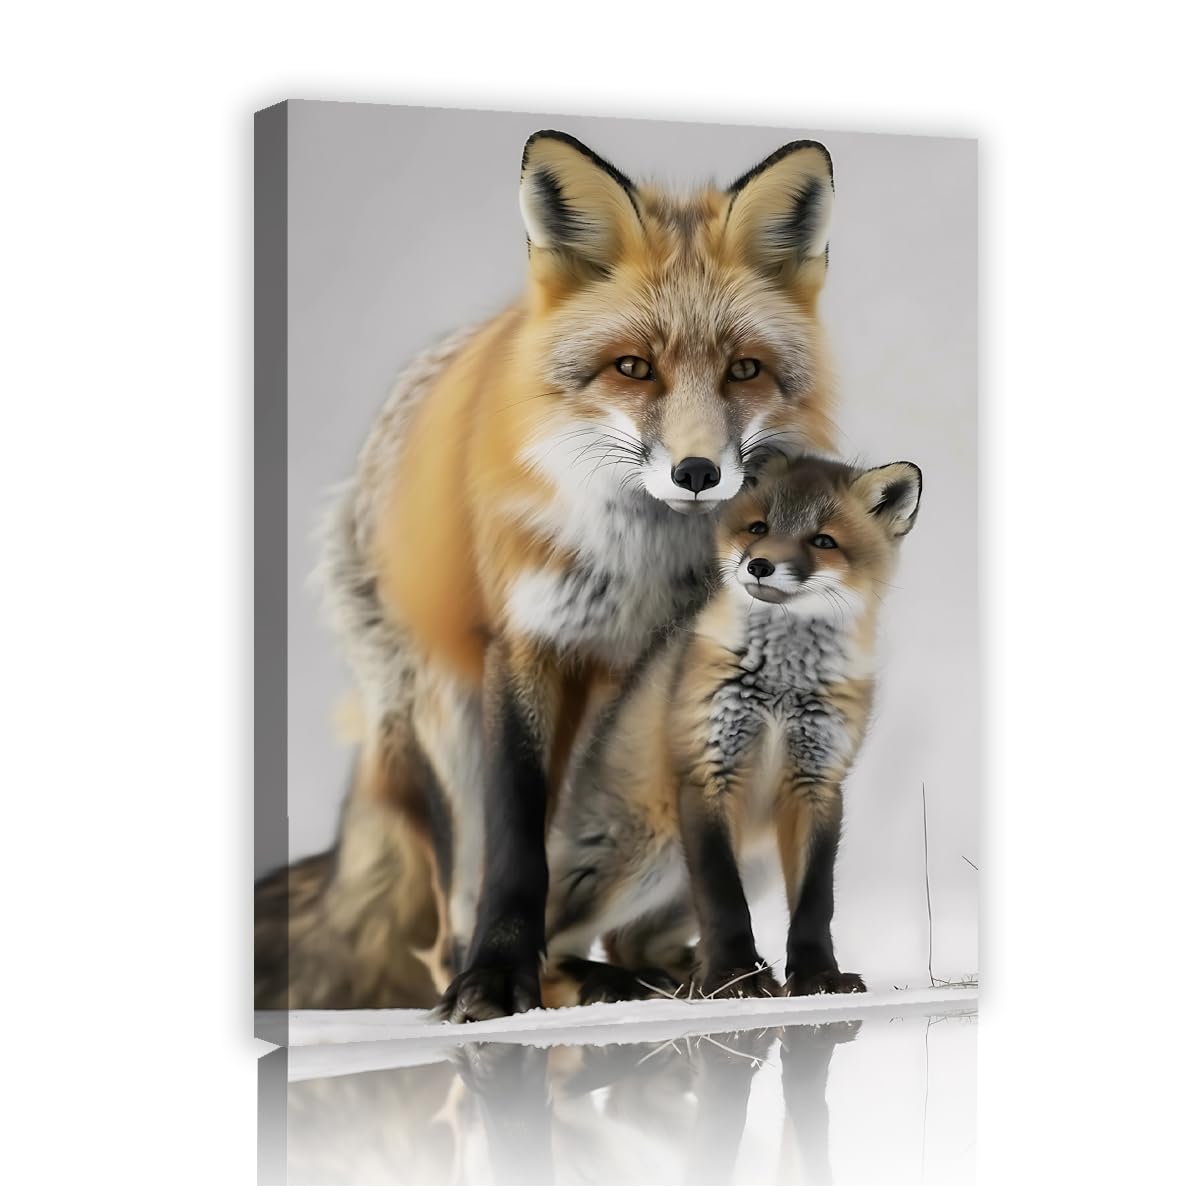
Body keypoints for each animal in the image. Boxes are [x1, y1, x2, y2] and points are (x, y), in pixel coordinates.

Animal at [255, 129, 842, 1018]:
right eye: (632, 368)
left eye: (745, 370)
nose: (698, 472)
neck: (640, 565)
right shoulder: (528, 642)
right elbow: (521, 848)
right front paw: (500, 976)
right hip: (448, 730)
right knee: (458, 917)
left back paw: (651, 979)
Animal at [542, 454, 922, 1004]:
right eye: (758, 528)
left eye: (823, 541)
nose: (759, 564)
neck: (782, 684)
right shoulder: (709, 772)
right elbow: (722, 899)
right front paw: (731, 977)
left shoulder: (818, 782)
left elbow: (816, 903)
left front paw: (816, 977)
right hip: (641, 858)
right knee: (553, 949)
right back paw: (615, 981)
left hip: (748, 864)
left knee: (630, 940)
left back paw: (676, 978)